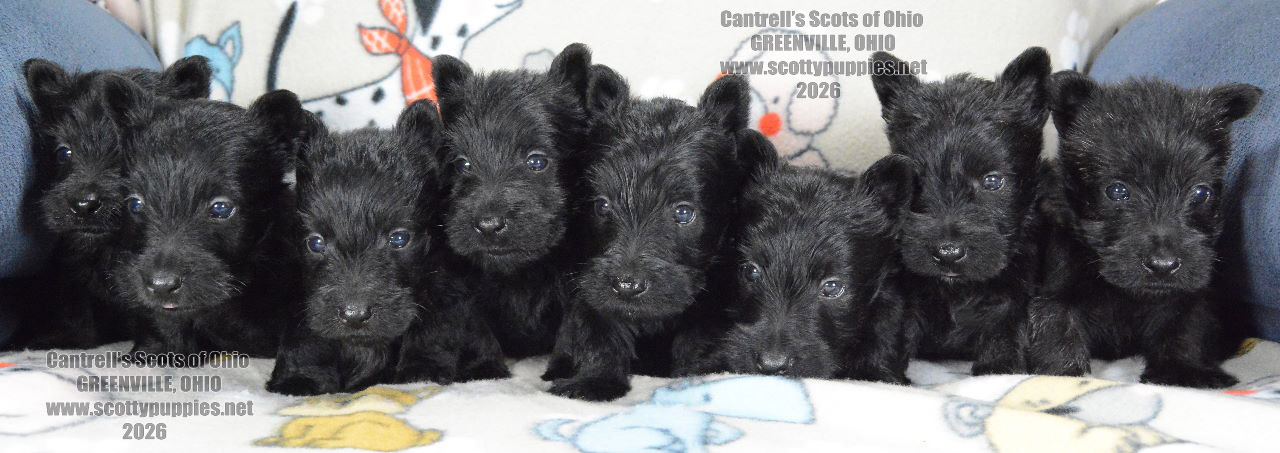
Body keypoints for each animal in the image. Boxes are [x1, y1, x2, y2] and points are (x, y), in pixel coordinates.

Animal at [266, 100, 509, 395]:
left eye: (399, 239)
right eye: (315, 242)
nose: (354, 315)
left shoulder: (443, 288)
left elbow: (432, 331)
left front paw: (421, 371)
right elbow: (303, 338)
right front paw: (299, 378)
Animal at [541, 67, 767, 401]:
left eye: (684, 213)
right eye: (602, 205)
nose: (627, 285)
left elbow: (696, 339)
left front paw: (693, 376)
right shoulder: (589, 283)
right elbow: (599, 330)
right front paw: (595, 381)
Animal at [869, 47, 1051, 375]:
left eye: (993, 181)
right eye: (915, 182)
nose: (948, 254)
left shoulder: (1015, 289)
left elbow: (1004, 327)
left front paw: (997, 367)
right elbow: (892, 327)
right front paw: (881, 374)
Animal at [1028, 72, 1262, 388]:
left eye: (1201, 192)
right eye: (1117, 190)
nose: (1163, 265)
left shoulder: (1187, 295)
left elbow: (1184, 329)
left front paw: (1183, 370)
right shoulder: (1056, 292)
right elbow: (1057, 331)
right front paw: (1062, 376)